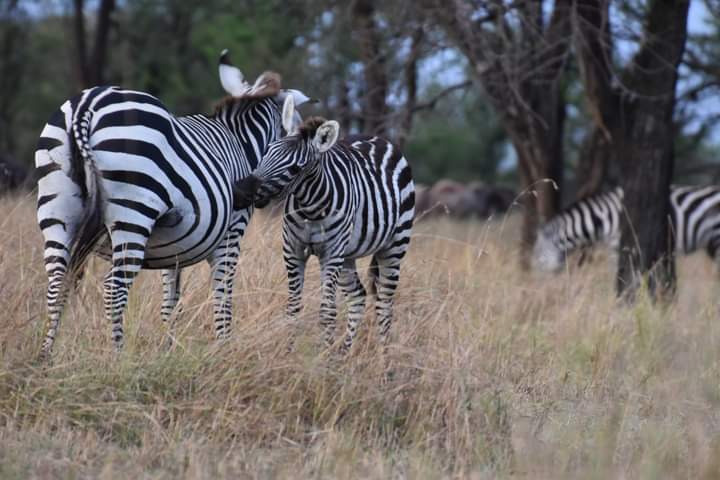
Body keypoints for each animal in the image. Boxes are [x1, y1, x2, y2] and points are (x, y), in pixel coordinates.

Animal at [35, 50, 312, 358]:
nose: (245, 193)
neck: (242, 144)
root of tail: (88, 104)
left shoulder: (175, 247)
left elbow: (171, 302)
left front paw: (168, 350)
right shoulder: (232, 233)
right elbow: (223, 296)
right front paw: (224, 348)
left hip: (57, 210)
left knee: (57, 283)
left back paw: (46, 358)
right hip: (134, 212)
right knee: (113, 289)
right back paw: (117, 358)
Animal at [235, 96, 416, 352]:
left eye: (296, 168)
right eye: (268, 150)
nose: (241, 191)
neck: (311, 208)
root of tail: (378, 138)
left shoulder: (331, 254)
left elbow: (327, 312)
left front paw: (321, 358)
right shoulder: (293, 251)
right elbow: (293, 308)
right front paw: (290, 352)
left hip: (394, 246)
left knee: (384, 304)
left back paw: (384, 357)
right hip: (348, 255)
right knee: (358, 296)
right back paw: (344, 353)